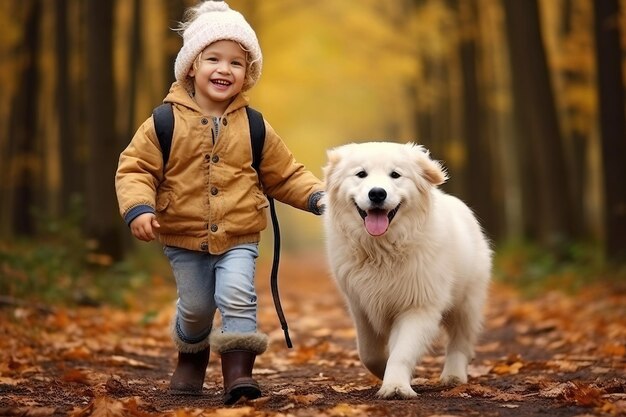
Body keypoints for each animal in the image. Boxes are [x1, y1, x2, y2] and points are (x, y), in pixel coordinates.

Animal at [322, 141, 492, 398]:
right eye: (361, 174)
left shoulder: (419, 306)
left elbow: (402, 352)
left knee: (460, 340)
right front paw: (385, 373)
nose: (377, 193)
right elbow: (368, 352)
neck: (381, 250)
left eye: (395, 174)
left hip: (467, 301)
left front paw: (395, 386)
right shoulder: (360, 306)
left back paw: (454, 375)